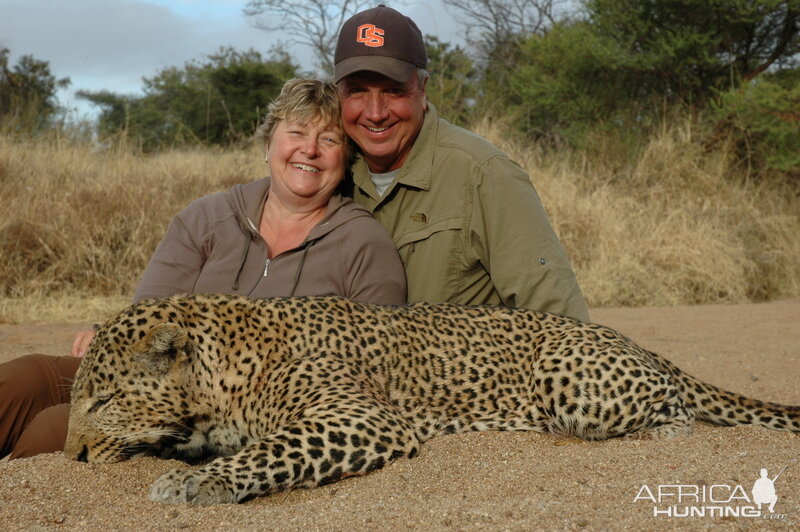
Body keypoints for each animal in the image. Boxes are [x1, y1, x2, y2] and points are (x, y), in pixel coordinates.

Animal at [64, 294, 800, 504]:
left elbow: (277, 447)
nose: (71, 457)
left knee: (676, 414)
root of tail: (638, 341)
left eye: (101, 401)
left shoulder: (358, 416)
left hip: (573, 380)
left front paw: (191, 486)